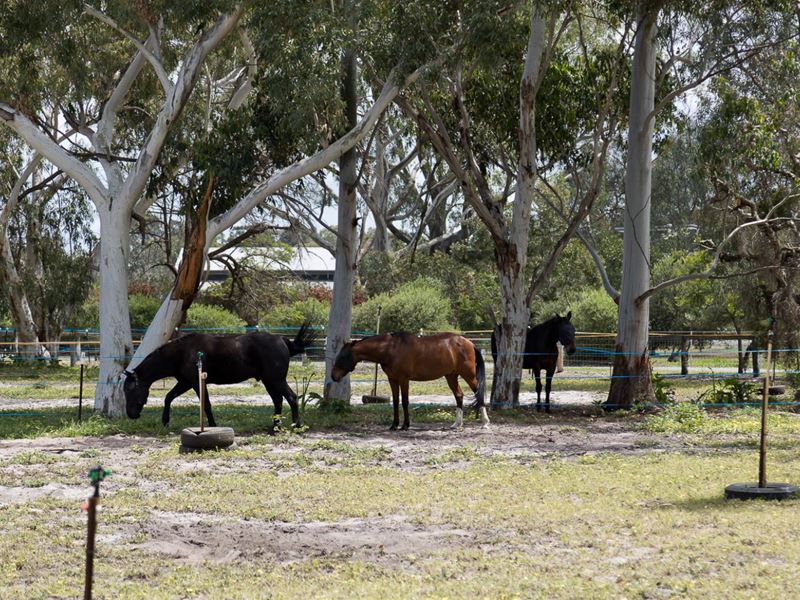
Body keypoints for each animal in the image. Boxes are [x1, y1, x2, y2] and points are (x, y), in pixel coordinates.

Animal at [123, 326, 314, 428]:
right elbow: (169, 397)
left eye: (129, 390)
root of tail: (282, 340)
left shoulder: (195, 382)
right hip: (269, 382)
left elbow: (206, 404)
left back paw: (295, 425)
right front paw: (165, 421)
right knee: (278, 401)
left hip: (276, 380)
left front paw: (213, 426)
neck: (181, 352)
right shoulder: (185, 382)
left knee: (291, 397)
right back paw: (275, 427)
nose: (131, 414)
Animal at [328, 332, 484, 432]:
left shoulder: (404, 379)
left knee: (479, 393)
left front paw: (405, 426)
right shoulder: (392, 379)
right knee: (459, 396)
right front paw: (394, 425)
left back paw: (485, 423)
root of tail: (469, 343)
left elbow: (404, 401)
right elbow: (396, 401)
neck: (391, 349)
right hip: (451, 376)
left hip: (469, 375)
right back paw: (457, 424)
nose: (333, 376)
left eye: (343, 356)